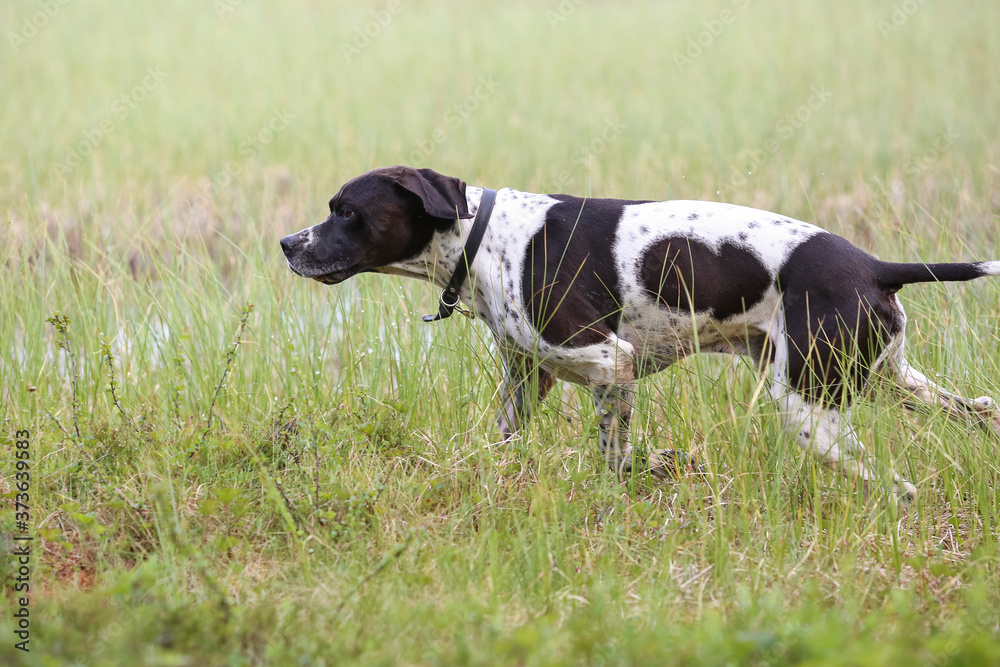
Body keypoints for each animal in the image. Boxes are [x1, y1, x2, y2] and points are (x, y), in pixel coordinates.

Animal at [282, 166, 1000, 500]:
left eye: (345, 211)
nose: (288, 243)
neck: (486, 238)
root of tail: (877, 265)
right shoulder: (527, 379)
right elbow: (506, 443)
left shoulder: (610, 360)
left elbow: (613, 454)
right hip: (890, 380)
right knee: (980, 409)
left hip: (810, 408)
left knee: (897, 485)